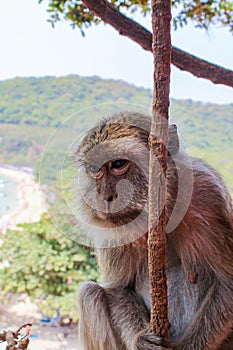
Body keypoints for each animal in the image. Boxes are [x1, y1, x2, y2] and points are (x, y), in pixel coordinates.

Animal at [75, 112, 233, 350]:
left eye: (119, 163)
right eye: (95, 169)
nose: (104, 197)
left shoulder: (210, 195)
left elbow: (228, 281)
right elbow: (118, 288)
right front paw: (141, 339)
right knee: (89, 294)